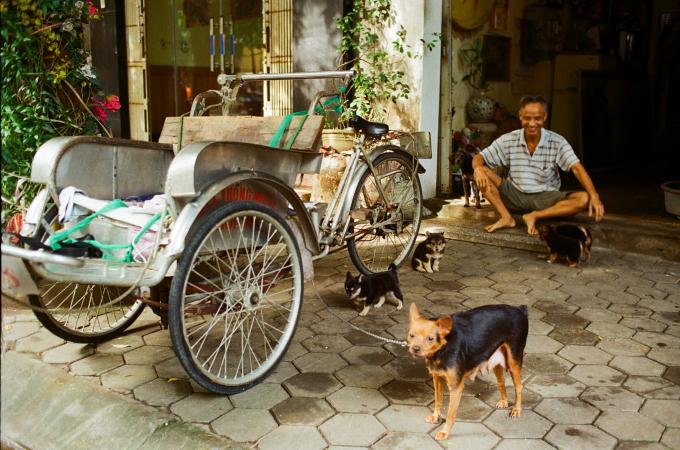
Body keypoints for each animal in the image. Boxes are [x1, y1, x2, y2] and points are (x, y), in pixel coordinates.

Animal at [406, 304, 528, 442]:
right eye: (411, 335)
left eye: (430, 338)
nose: (415, 348)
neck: (443, 349)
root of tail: (520, 309)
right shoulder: (437, 379)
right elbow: (438, 401)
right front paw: (435, 417)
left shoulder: (456, 388)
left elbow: (450, 414)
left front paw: (444, 432)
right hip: (497, 361)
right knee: (501, 382)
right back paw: (504, 401)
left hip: (514, 362)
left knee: (518, 386)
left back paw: (516, 409)